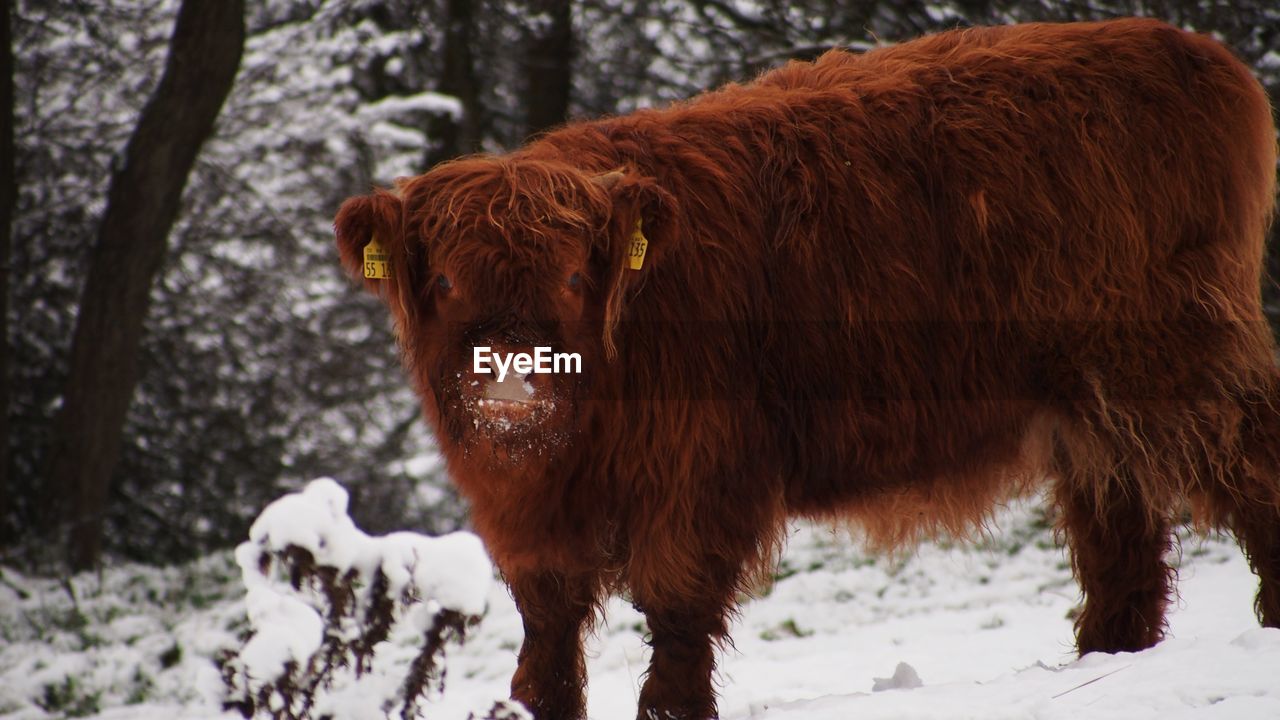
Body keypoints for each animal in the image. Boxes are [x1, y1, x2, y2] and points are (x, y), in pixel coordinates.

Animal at [337, 19, 1280, 717]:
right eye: (447, 281)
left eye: (573, 278)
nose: (512, 371)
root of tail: (1191, 51)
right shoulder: (523, 512)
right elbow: (548, 630)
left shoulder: (700, 470)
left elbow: (676, 607)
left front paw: (673, 707)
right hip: (1088, 406)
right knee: (1120, 539)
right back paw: (1101, 659)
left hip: (1175, 362)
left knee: (1250, 474)